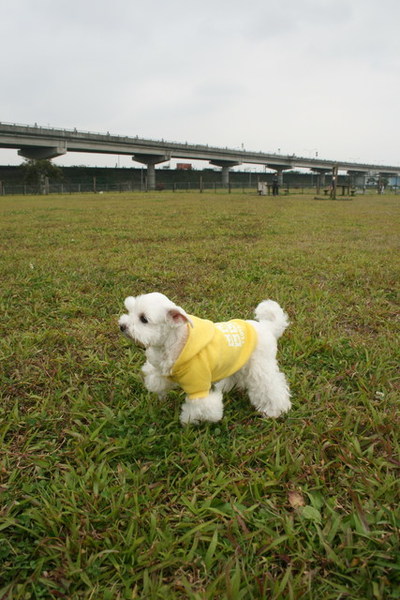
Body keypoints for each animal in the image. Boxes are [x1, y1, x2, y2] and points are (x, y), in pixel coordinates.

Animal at [119, 292, 290, 424]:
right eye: (129, 310)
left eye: (143, 319)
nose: (122, 326)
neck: (177, 343)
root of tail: (267, 326)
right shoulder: (161, 368)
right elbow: (156, 379)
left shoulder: (198, 386)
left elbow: (201, 408)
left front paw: (187, 422)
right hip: (238, 362)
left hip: (260, 367)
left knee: (271, 387)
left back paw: (274, 410)